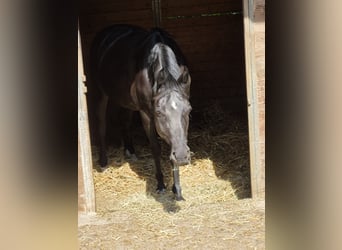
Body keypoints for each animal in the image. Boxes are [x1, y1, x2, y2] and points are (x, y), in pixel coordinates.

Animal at [89, 24, 191, 200]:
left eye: (189, 110)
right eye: (159, 113)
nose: (182, 156)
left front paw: (177, 190)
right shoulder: (146, 115)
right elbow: (156, 148)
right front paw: (161, 184)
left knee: (124, 120)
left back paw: (130, 151)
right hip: (101, 93)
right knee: (101, 123)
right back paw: (103, 161)